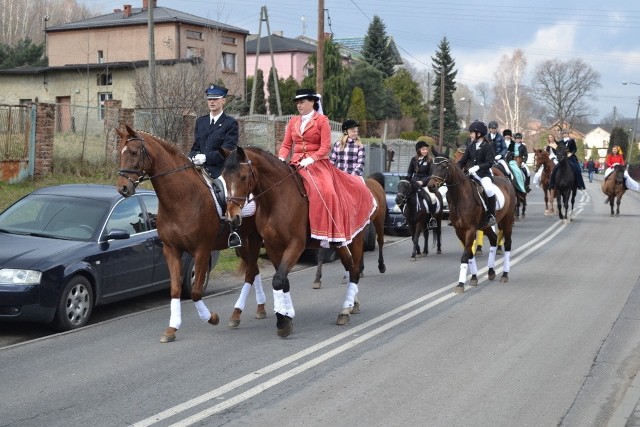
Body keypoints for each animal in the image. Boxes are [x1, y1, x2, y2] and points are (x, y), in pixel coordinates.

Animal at [115, 125, 264, 342]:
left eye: (134, 152)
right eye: (120, 152)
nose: (123, 188)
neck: (181, 199)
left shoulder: (201, 250)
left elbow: (195, 292)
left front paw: (211, 318)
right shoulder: (171, 250)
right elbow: (175, 289)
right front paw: (171, 329)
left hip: (256, 238)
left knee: (252, 272)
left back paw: (243, 314)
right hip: (243, 243)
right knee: (254, 270)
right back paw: (256, 310)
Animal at [221, 147, 380, 338]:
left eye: (243, 177)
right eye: (223, 177)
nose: (232, 217)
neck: (277, 200)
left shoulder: (295, 245)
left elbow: (278, 280)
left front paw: (282, 322)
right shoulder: (273, 247)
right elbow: (283, 280)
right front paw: (287, 315)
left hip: (354, 239)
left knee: (355, 271)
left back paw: (344, 311)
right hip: (339, 243)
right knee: (349, 267)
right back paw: (351, 305)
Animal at [428, 154, 516, 294]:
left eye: (443, 166)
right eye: (431, 166)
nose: (431, 186)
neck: (460, 198)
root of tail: (506, 181)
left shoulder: (470, 229)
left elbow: (465, 256)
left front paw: (460, 284)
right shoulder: (459, 231)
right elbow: (469, 254)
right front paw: (473, 278)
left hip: (507, 221)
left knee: (507, 244)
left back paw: (504, 274)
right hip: (485, 226)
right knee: (493, 239)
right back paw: (491, 271)